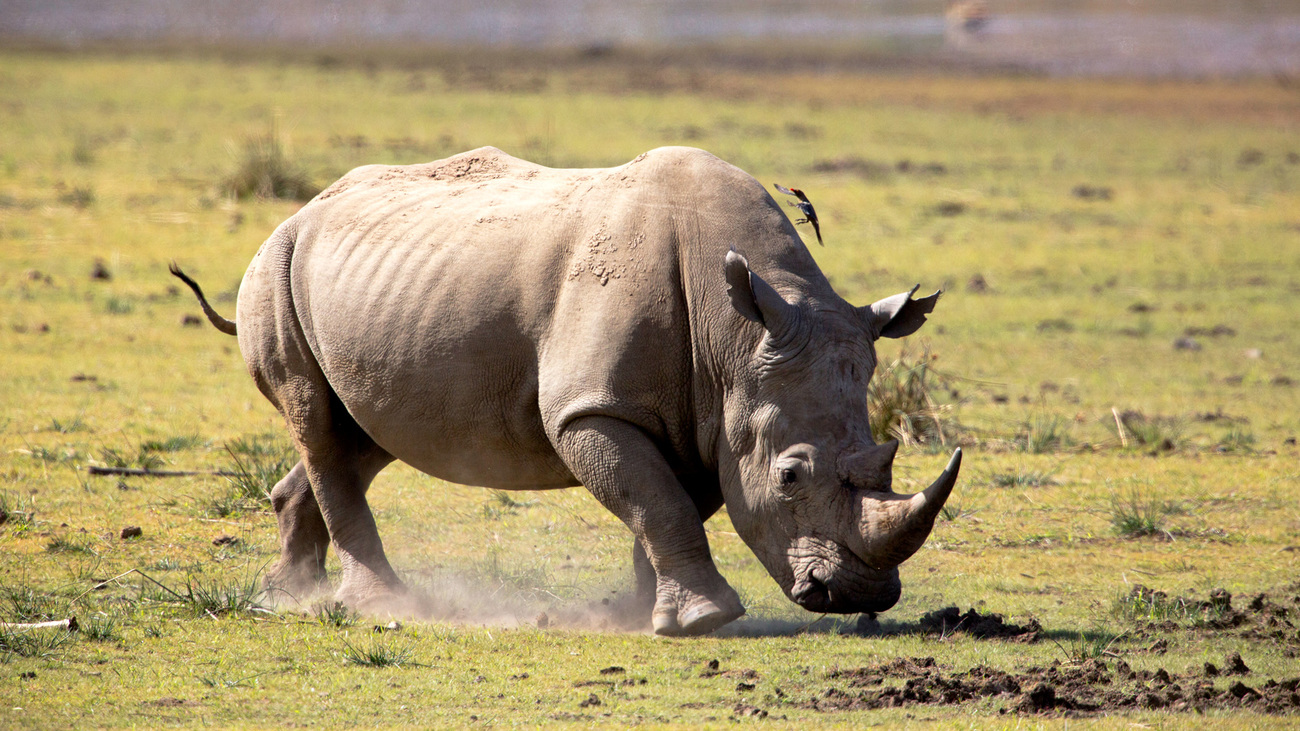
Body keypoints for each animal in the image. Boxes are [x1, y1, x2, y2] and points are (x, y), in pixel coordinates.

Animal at [178, 143, 961, 632]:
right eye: (791, 476)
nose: (857, 594)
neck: (737, 338)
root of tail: (301, 210)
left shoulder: (707, 416)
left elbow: (667, 504)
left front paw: (645, 616)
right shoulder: (595, 408)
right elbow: (658, 501)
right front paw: (705, 620)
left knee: (361, 432)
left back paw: (287, 595)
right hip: (274, 266)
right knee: (318, 419)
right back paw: (377, 605)